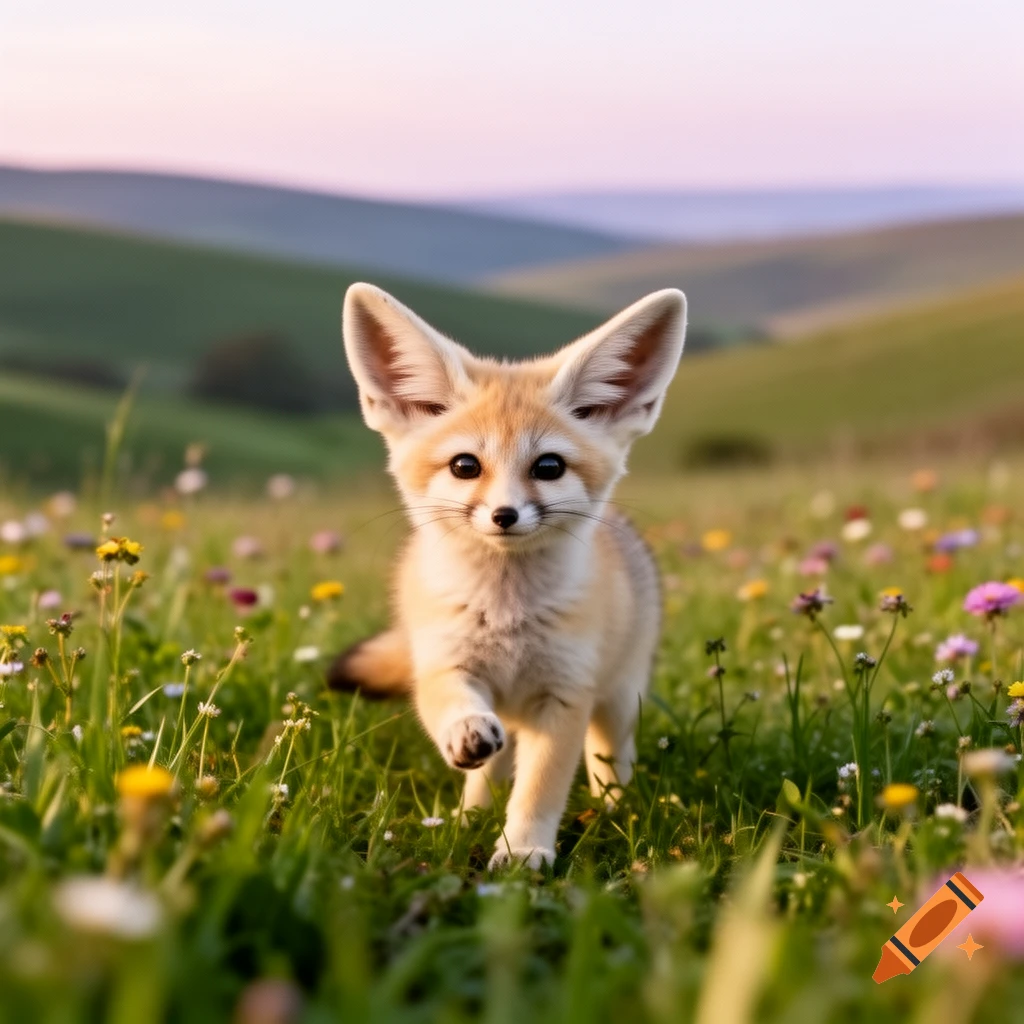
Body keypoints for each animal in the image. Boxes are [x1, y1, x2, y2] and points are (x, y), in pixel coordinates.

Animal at [328, 282, 687, 869]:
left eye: (549, 467)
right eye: (465, 466)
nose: (504, 516)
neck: (506, 616)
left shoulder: (565, 695)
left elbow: (538, 791)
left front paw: (523, 853)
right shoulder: (445, 662)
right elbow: (450, 708)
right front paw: (463, 736)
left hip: (617, 700)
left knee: (611, 760)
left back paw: (613, 811)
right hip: (505, 713)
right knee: (489, 773)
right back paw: (467, 818)